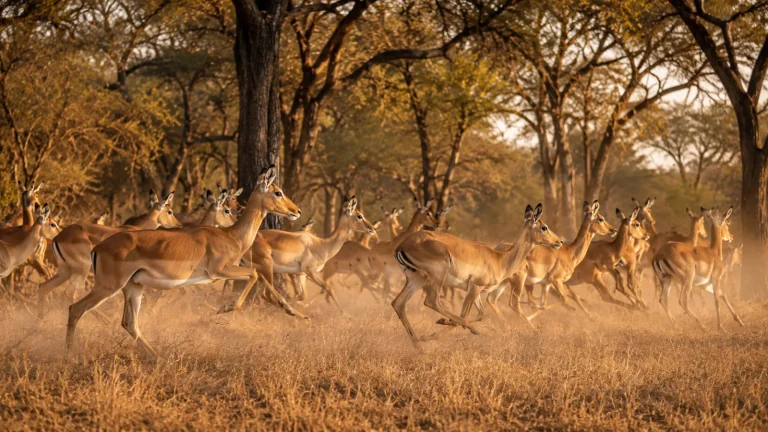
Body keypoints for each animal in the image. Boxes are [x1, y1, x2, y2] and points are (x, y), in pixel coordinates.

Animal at [37, 191, 182, 318]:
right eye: (170, 211)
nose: (179, 225)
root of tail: (58, 237)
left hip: (66, 270)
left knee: (44, 287)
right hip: (81, 270)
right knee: (71, 294)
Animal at [66, 167, 304, 355]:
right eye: (278, 192)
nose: (297, 211)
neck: (231, 236)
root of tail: (98, 248)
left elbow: (260, 277)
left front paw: (294, 312)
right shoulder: (219, 271)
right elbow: (255, 275)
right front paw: (224, 308)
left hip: (133, 286)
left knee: (129, 323)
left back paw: (159, 358)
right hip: (109, 286)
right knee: (75, 308)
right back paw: (69, 356)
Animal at [241, 196, 377, 312]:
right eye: (359, 215)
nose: (372, 229)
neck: (322, 244)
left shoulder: (300, 274)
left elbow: (302, 295)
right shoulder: (310, 270)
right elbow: (328, 287)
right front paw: (345, 314)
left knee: (262, 293)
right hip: (267, 268)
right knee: (266, 294)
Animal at [392, 204, 563, 345]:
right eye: (544, 227)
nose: (559, 242)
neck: (499, 260)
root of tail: (402, 246)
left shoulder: (477, 290)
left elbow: (480, 314)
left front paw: (442, 322)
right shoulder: (475, 286)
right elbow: (464, 314)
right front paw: (437, 329)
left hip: (416, 279)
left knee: (398, 303)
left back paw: (419, 346)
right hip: (436, 277)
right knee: (431, 301)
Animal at [487, 201, 617, 326]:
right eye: (601, 218)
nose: (613, 230)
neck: (570, 253)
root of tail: (498, 249)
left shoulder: (546, 284)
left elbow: (544, 304)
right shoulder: (556, 280)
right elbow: (562, 299)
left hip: (505, 282)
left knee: (492, 299)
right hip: (518, 281)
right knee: (512, 303)